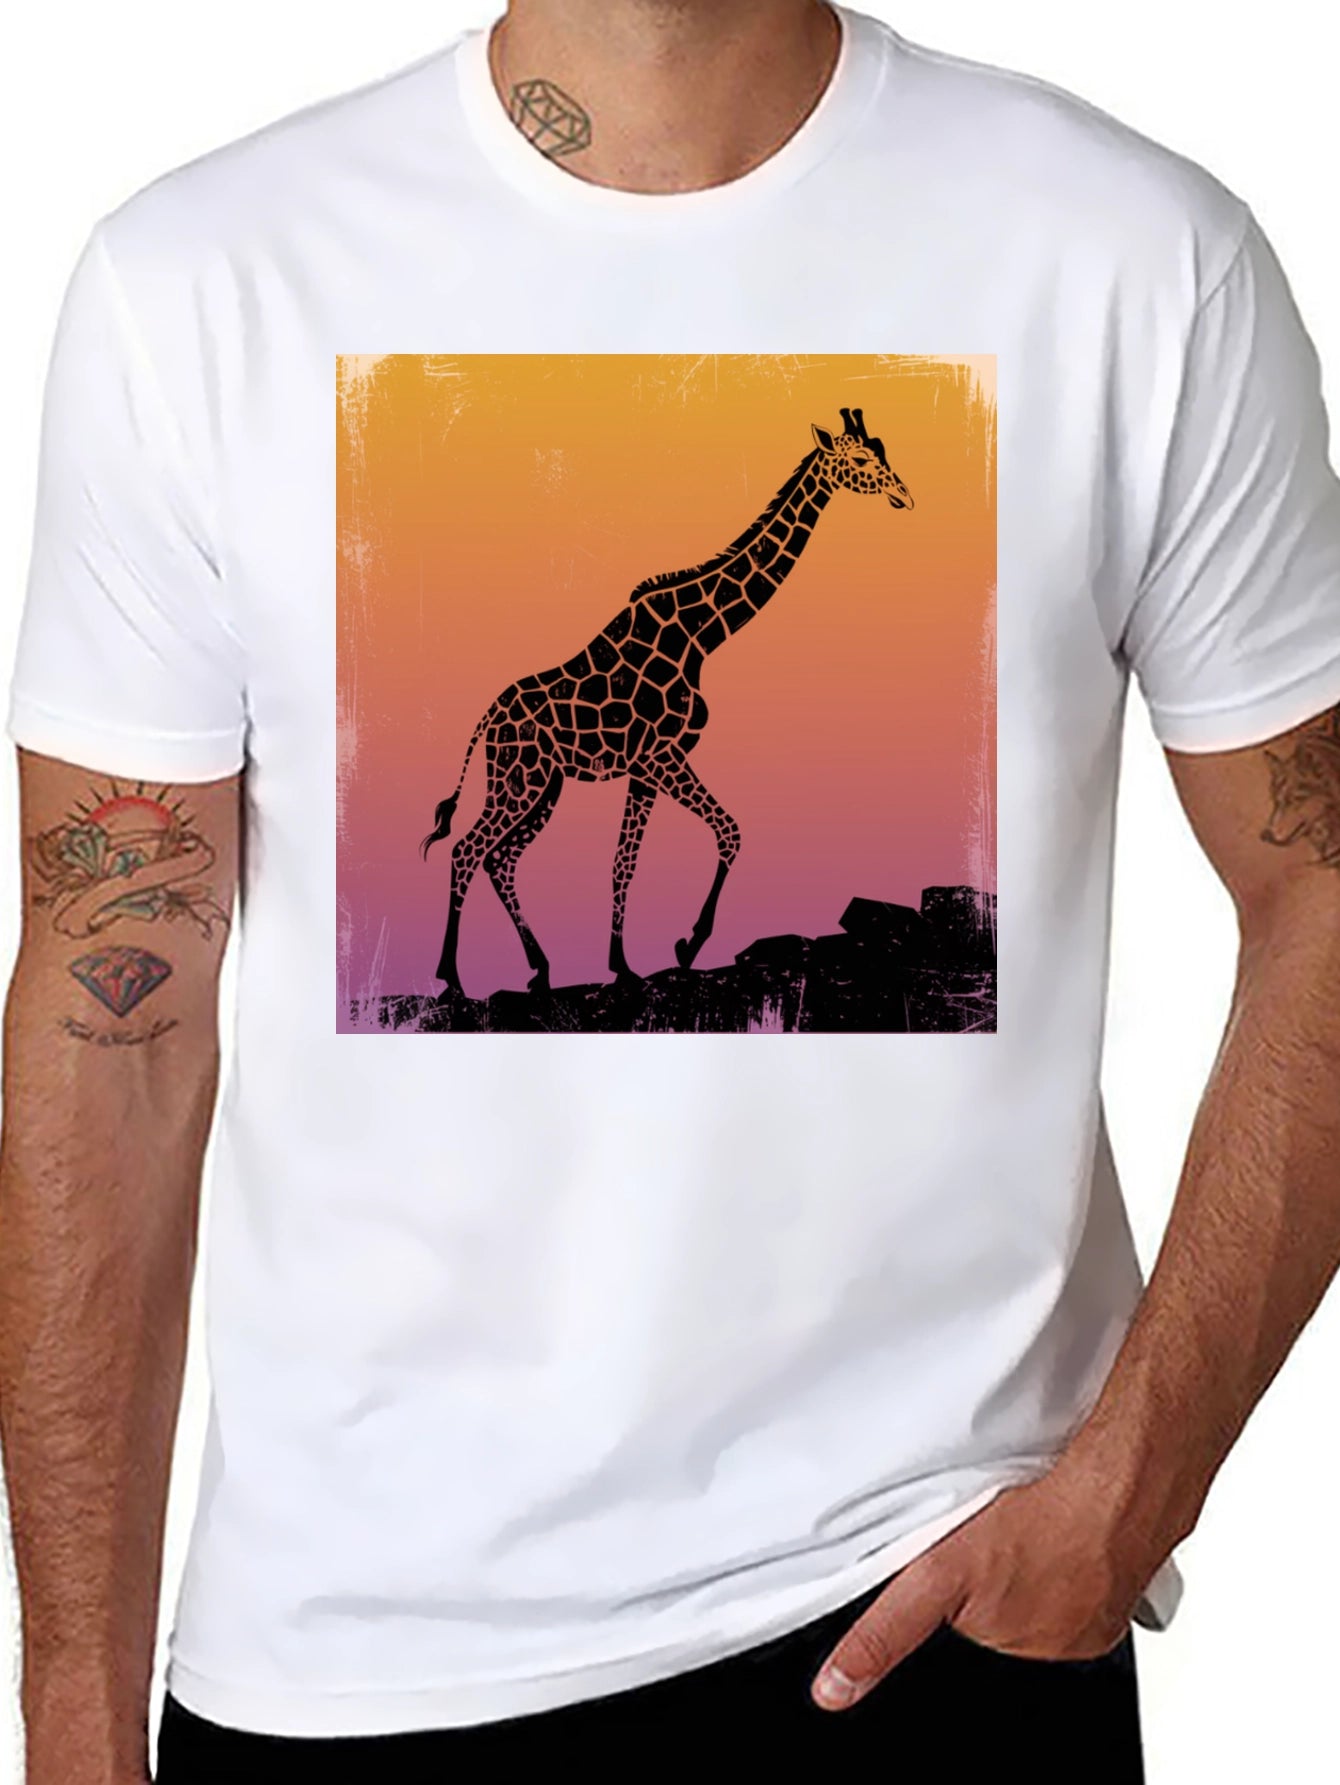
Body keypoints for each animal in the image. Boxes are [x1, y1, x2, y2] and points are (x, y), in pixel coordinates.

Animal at [422, 408, 913, 995]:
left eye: (882, 450)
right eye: (860, 459)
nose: (906, 496)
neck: (701, 634)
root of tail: (485, 722)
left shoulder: (644, 768)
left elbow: (624, 862)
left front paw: (623, 965)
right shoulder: (662, 756)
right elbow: (729, 832)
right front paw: (689, 944)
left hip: (545, 786)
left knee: (501, 859)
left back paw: (540, 969)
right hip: (520, 781)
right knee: (467, 851)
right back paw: (452, 979)